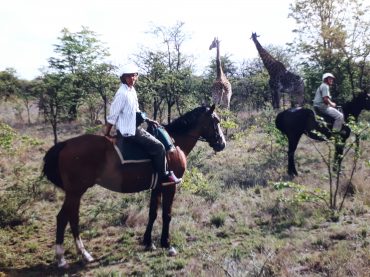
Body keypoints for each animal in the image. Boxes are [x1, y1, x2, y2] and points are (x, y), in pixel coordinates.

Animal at [43, 103, 227, 266]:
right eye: (216, 121)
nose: (222, 143)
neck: (174, 144)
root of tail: (66, 144)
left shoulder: (157, 186)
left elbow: (153, 213)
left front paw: (148, 242)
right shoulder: (169, 186)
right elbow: (166, 214)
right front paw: (167, 244)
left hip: (75, 192)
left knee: (72, 217)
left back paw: (83, 254)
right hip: (75, 191)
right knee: (63, 218)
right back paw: (64, 258)